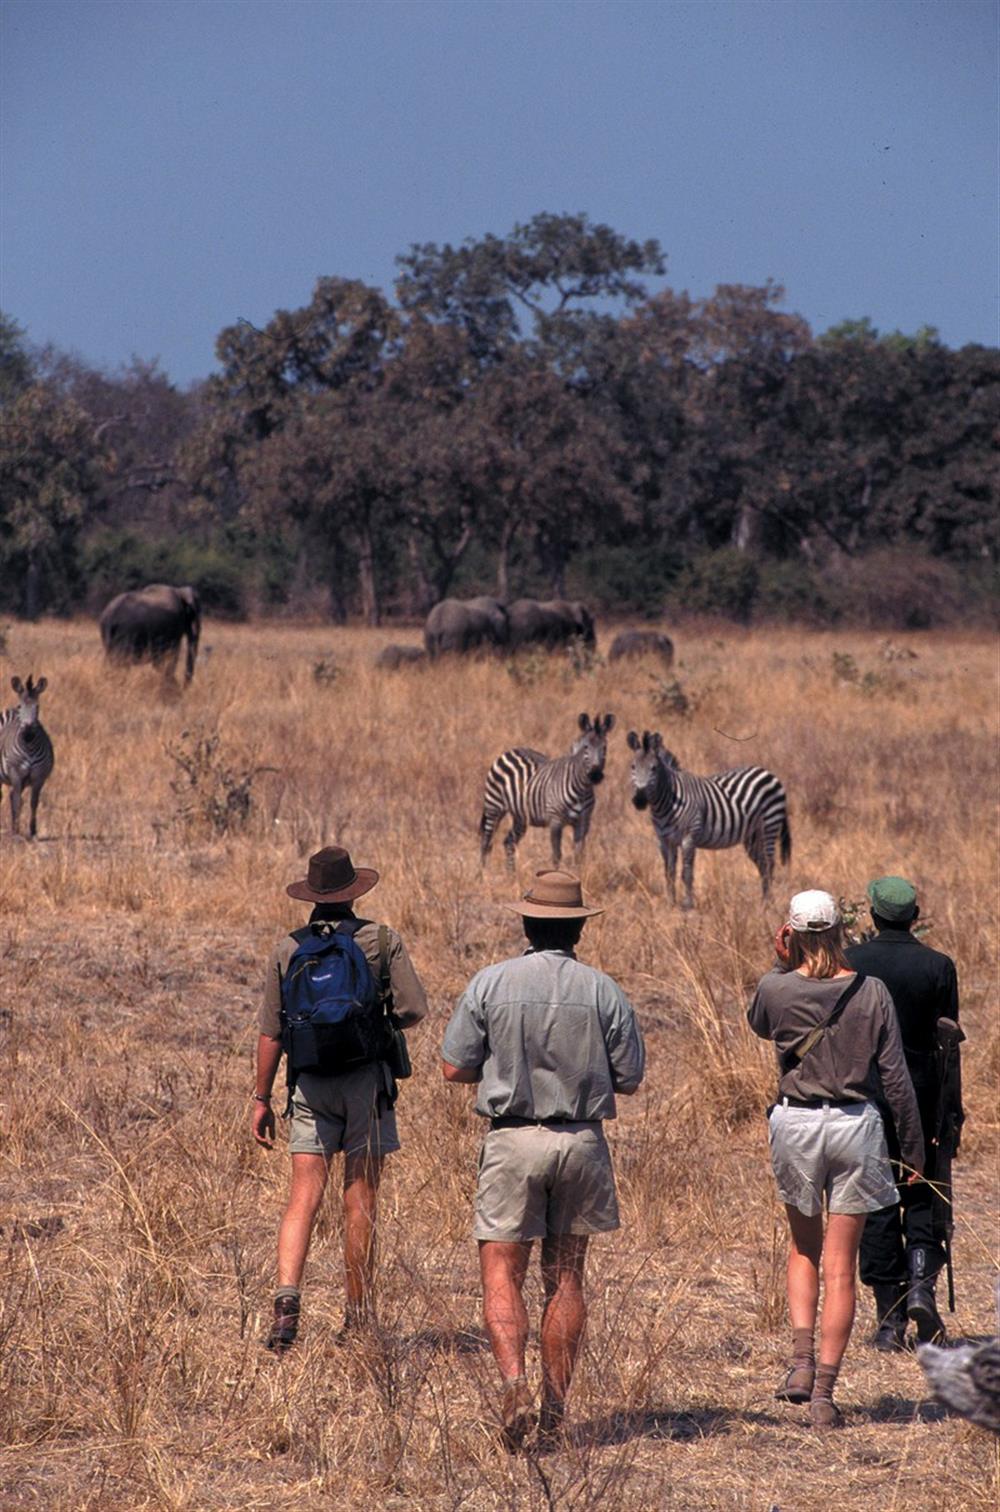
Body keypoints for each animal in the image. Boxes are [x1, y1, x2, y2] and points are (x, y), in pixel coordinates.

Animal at [0, 674, 54, 840]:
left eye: (37, 707)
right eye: (20, 707)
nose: (28, 735)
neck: (29, 748)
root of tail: (8, 710)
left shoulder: (38, 777)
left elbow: (33, 802)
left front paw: (32, 831)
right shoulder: (16, 773)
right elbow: (18, 801)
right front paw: (17, 833)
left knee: (12, 796)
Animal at [481, 710, 611, 870]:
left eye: (605, 748)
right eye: (586, 747)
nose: (596, 775)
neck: (582, 789)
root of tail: (511, 750)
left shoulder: (583, 823)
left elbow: (579, 856)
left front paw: (578, 874)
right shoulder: (555, 821)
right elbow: (556, 855)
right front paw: (555, 875)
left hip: (520, 816)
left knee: (509, 842)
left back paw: (511, 875)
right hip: (493, 807)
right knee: (486, 842)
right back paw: (482, 874)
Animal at [629, 728, 792, 907]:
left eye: (654, 768)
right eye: (633, 767)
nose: (639, 800)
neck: (667, 802)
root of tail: (767, 772)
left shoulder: (689, 837)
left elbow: (686, 873)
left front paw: (688, 905)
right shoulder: (664, 840)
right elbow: (669, 873)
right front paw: (671, 904)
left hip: (770, 822)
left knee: (769, 864)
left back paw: (768, 904)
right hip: (753, 834)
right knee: (762, 864)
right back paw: (763, 901)